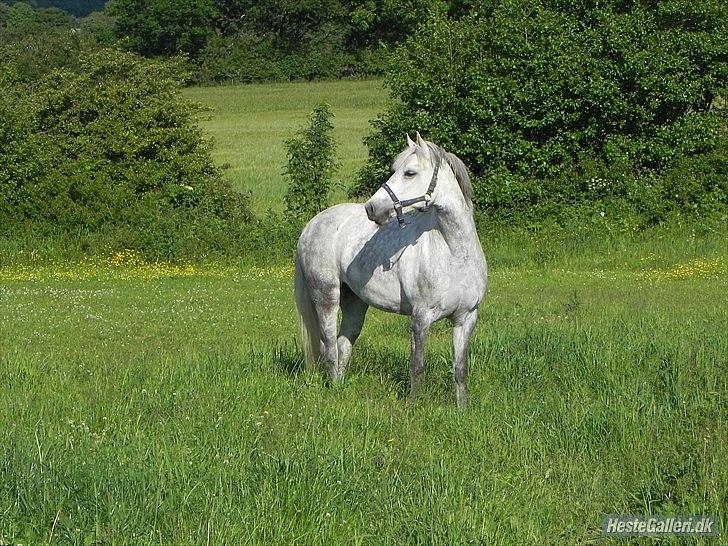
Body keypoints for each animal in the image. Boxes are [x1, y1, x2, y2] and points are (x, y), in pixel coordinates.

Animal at [292, 133, 486, 404]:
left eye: (410, 173)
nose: (372, 208)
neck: (454, 254)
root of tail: (312, 225)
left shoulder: (466, 318)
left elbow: (460, 369)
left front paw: (462, 408)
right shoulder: (420, 317)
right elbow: (417, 365)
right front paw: (415, 405)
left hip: (355, 302)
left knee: (342, 345)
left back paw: (341, 389)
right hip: (326, 297)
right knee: (328, 346)